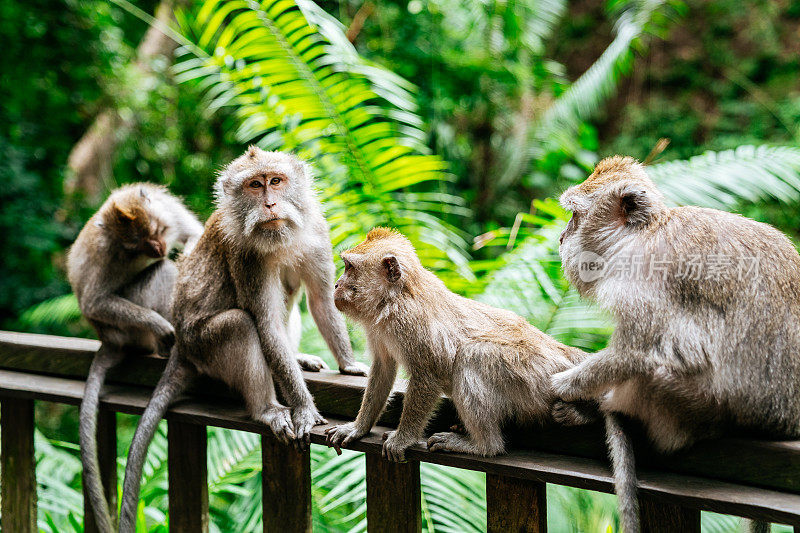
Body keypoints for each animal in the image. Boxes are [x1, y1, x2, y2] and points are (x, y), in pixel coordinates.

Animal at [66, 184, 203, 532]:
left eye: (154, 232)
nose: (156, 248)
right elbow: (96, 301)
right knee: (161, 272)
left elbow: (194, 236)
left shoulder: (169, 209)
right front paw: (161, 326)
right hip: (128, 332)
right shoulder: (108, 253)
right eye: (136, 244)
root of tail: (108, 341)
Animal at [117, 147, 368, 532]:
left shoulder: (316, 233)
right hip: (202, 345)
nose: (269, 204)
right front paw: (303, 408)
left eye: (275, 181)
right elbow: (264, 325)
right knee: (240, 325)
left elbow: (322, 300)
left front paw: (350, 364)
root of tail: (181, 347)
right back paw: (266, 409)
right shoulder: (245, 257)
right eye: (254, 185)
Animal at [324, 229, 588, 462]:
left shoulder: (409, 322)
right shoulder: (378, 328)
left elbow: (427, 376)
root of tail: (562, 352)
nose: (335, 285)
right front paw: (358, 427)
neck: (394, 298)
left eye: (349, 267)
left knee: (472, 355)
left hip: (534, 375)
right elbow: (383, 368)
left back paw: (483, 445)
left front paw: (403, 439)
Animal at [552, 156, 800, 528]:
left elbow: (635, 353)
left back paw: (600, 408)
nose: (561, 237)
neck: (646, 232)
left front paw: (563, 384)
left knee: (656, 371)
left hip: (699, 407)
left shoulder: (641, 278)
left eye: (574, 215)